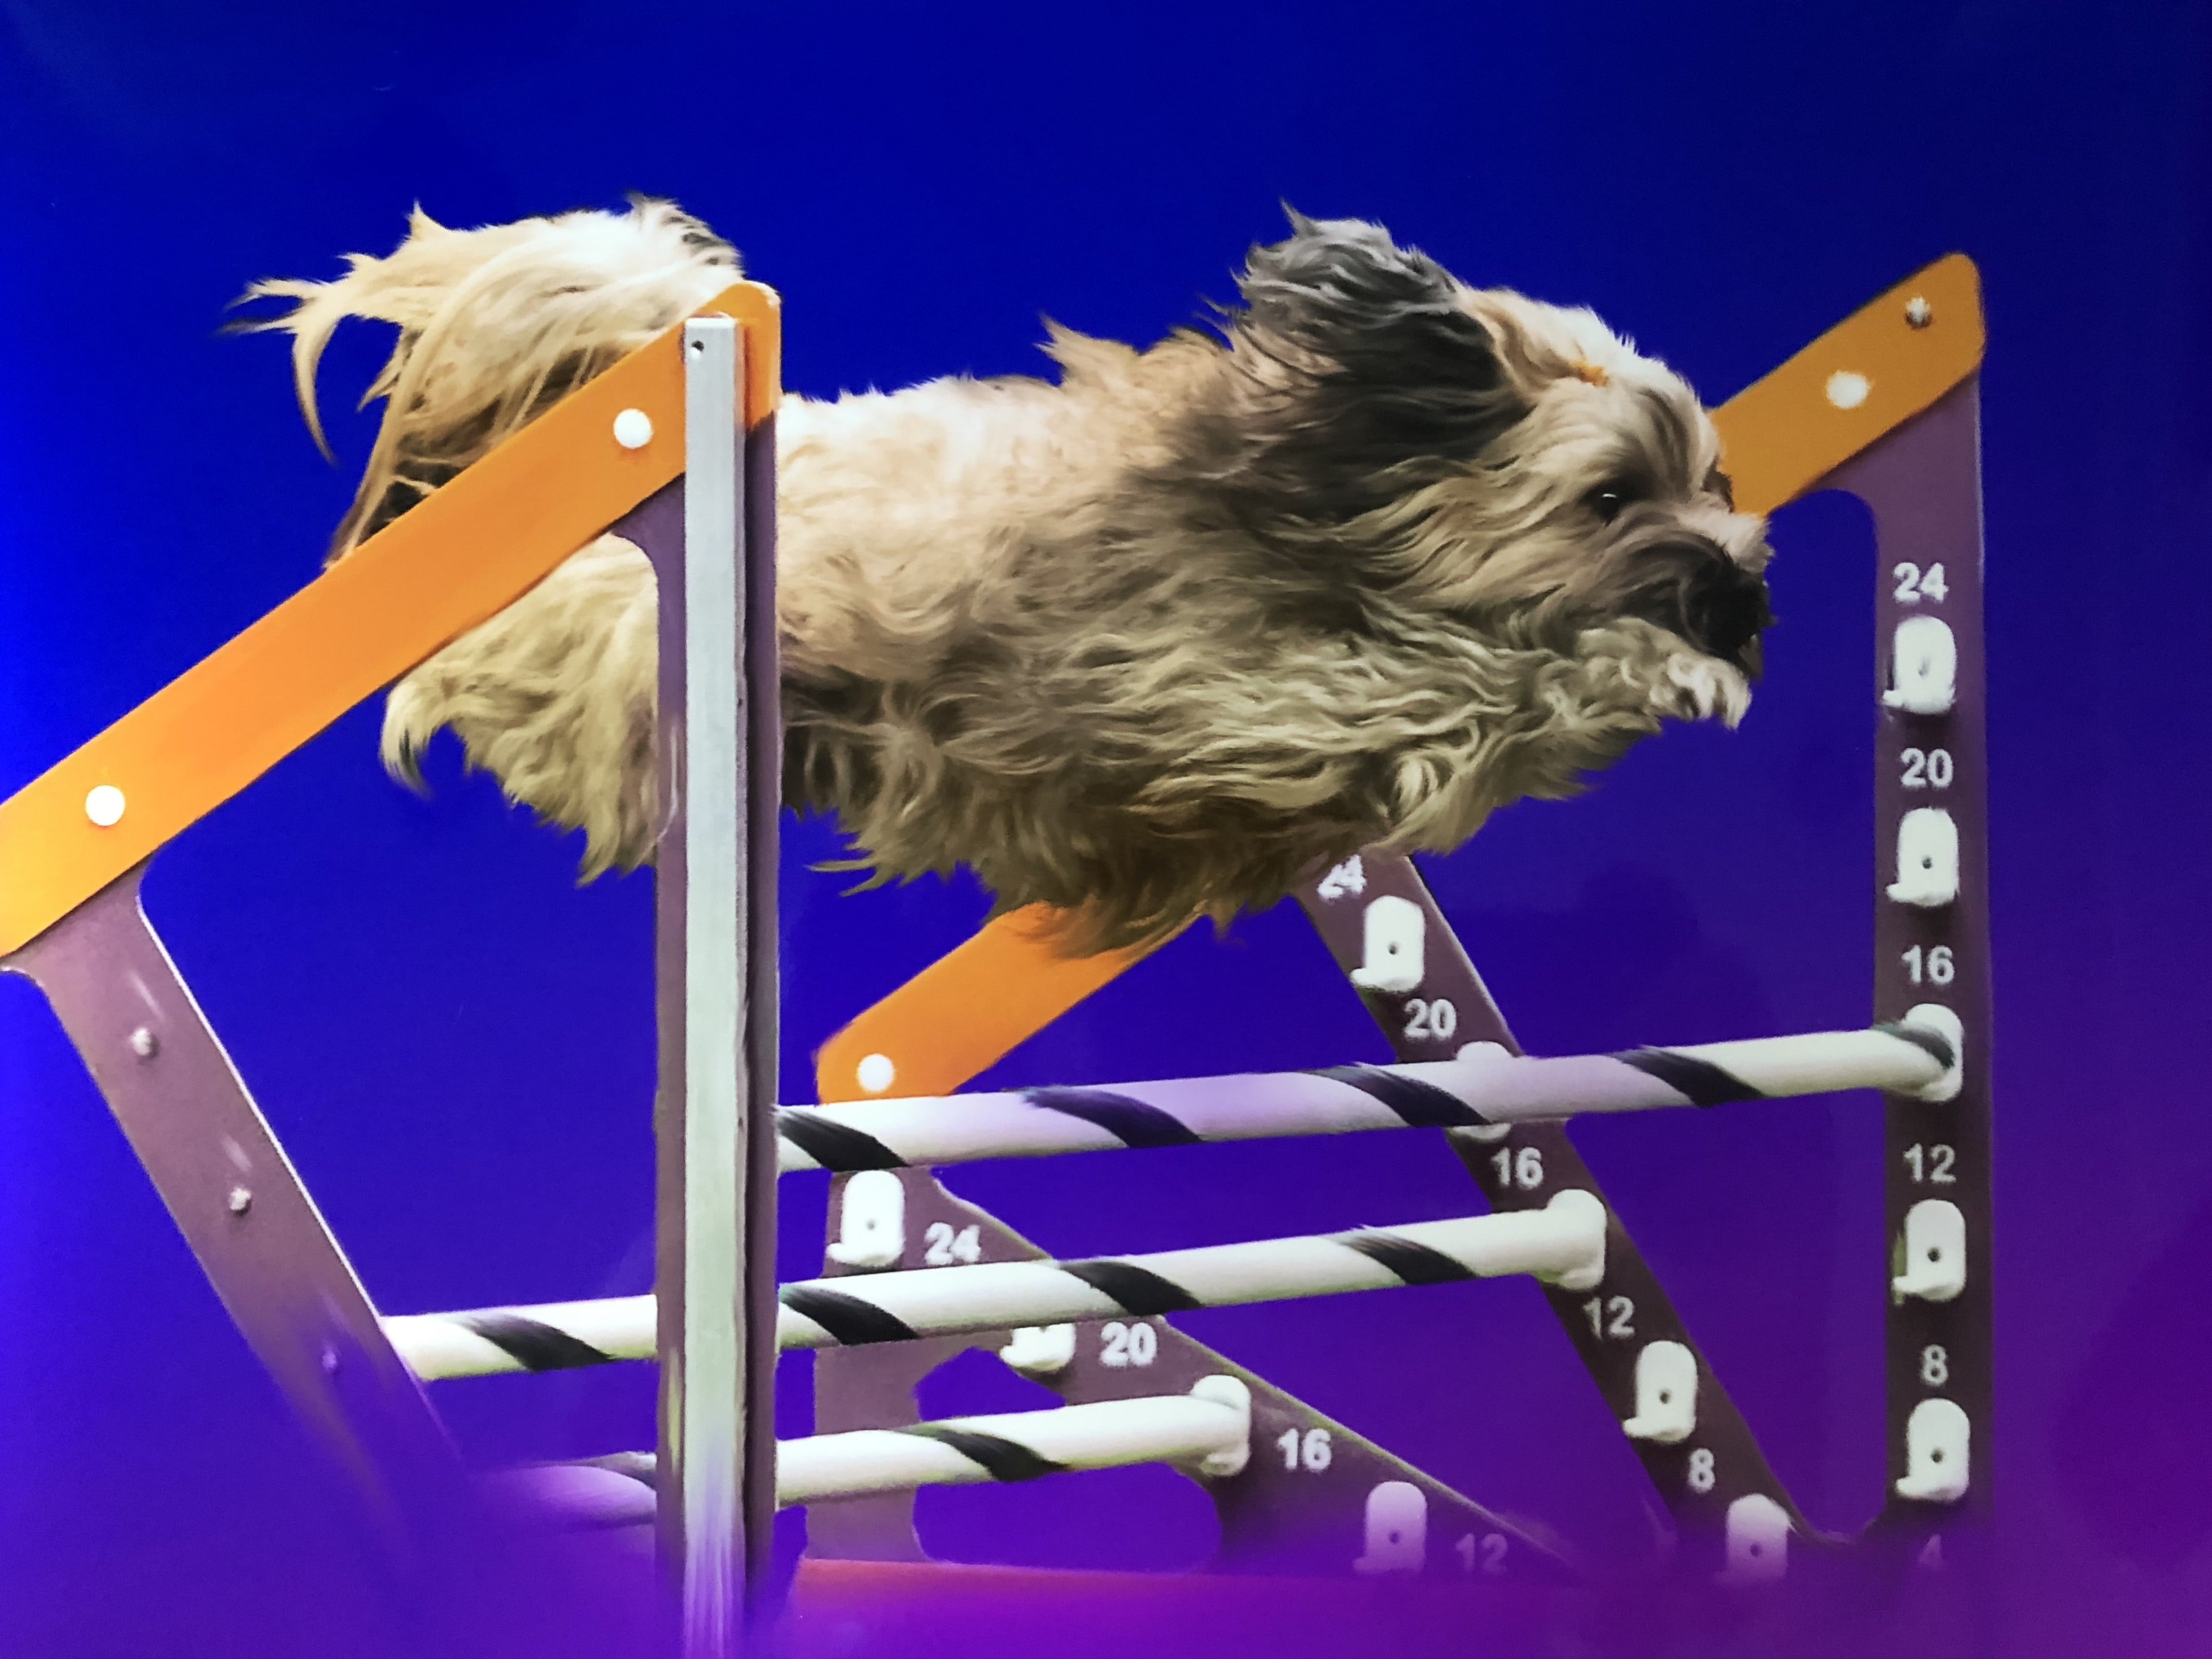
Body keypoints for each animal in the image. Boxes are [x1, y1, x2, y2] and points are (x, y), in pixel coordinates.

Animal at [246, 203, 1760, 955]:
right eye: (1607, 498)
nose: (1741, 595)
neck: (1311, 496)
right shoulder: (1226, 695)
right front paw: (1660, 668)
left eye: (1720, 481)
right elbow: (1485, 683)